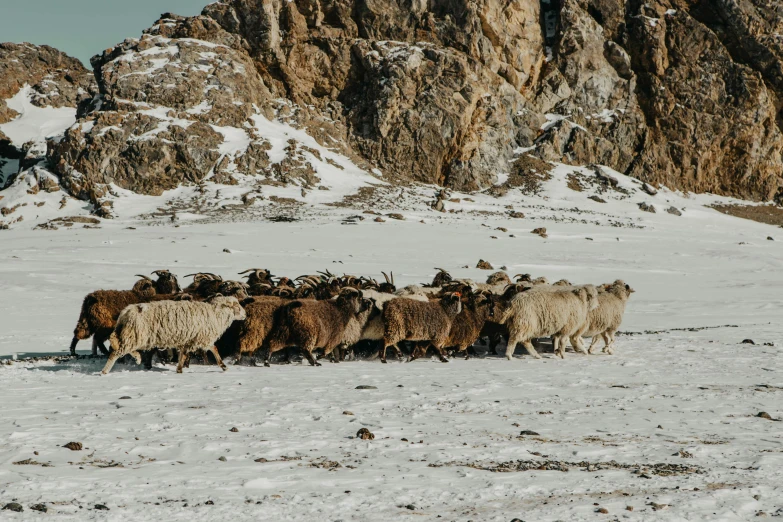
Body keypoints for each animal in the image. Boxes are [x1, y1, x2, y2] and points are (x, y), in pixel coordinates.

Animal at [102, 294, 247, 372]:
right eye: (237, 306)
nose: (245, 315)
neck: (216, 314)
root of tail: (126, 312)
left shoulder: (188, 339)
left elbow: (183, 355)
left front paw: (179, 369)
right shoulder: (203, 337)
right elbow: (214, 349)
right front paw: (223, 366)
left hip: (133, 335)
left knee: (122, 348)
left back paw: (137, 358)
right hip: (135, 334)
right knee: (117, 352)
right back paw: (105, 371)